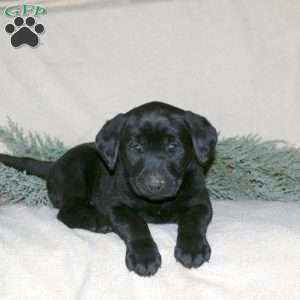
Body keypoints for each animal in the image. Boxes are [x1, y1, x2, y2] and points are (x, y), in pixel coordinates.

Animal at [0, 101, 217, 276]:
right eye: (136, 147)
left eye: (173, 147)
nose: (154, 185)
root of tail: (53, 164)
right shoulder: (115, 205)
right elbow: (135, 223)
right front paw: (144, 256)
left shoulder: (201, 202)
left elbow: (193, 220)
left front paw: (192, 248)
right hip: (79, 168)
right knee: (66, 211)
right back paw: (95, 220)